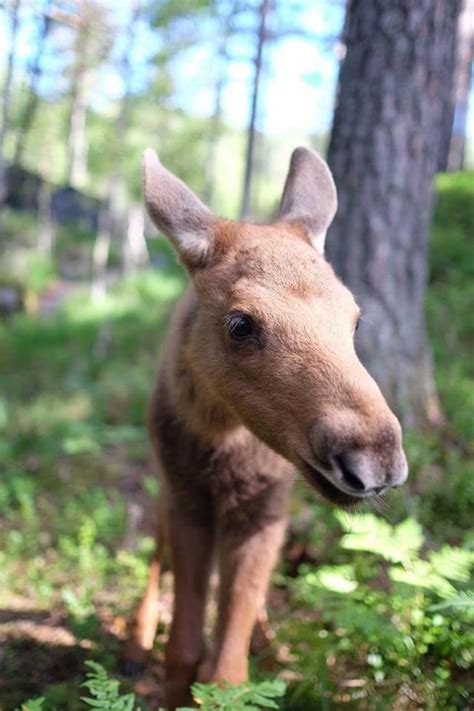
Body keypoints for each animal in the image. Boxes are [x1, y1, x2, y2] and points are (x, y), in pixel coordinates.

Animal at [123, 145, 408, 708]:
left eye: (355, 319)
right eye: (240, 324)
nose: (375, 460)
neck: (223, 445)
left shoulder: (266, 509)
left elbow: (227, 669)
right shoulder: (186, 497)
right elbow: (183, 649)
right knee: (155, 546)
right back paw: (136, 639)